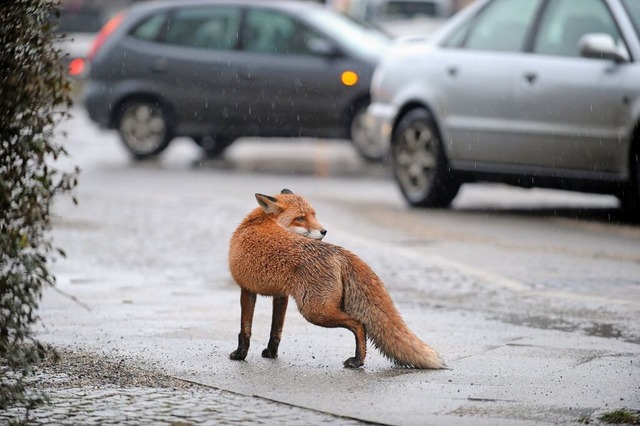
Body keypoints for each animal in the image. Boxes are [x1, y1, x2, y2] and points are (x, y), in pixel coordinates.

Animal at [230, 190, 444, 370]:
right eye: (300, 218)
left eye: (313, 215)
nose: (324, 231)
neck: (258, 221)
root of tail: (338, 251)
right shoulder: (281, 295)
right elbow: (276, 330)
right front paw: (271, 353)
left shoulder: (246, 289)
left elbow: (245, 329)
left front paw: (240, 355)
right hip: (319, 309)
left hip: (315, 311)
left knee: (359, 324)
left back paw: (357, 361)